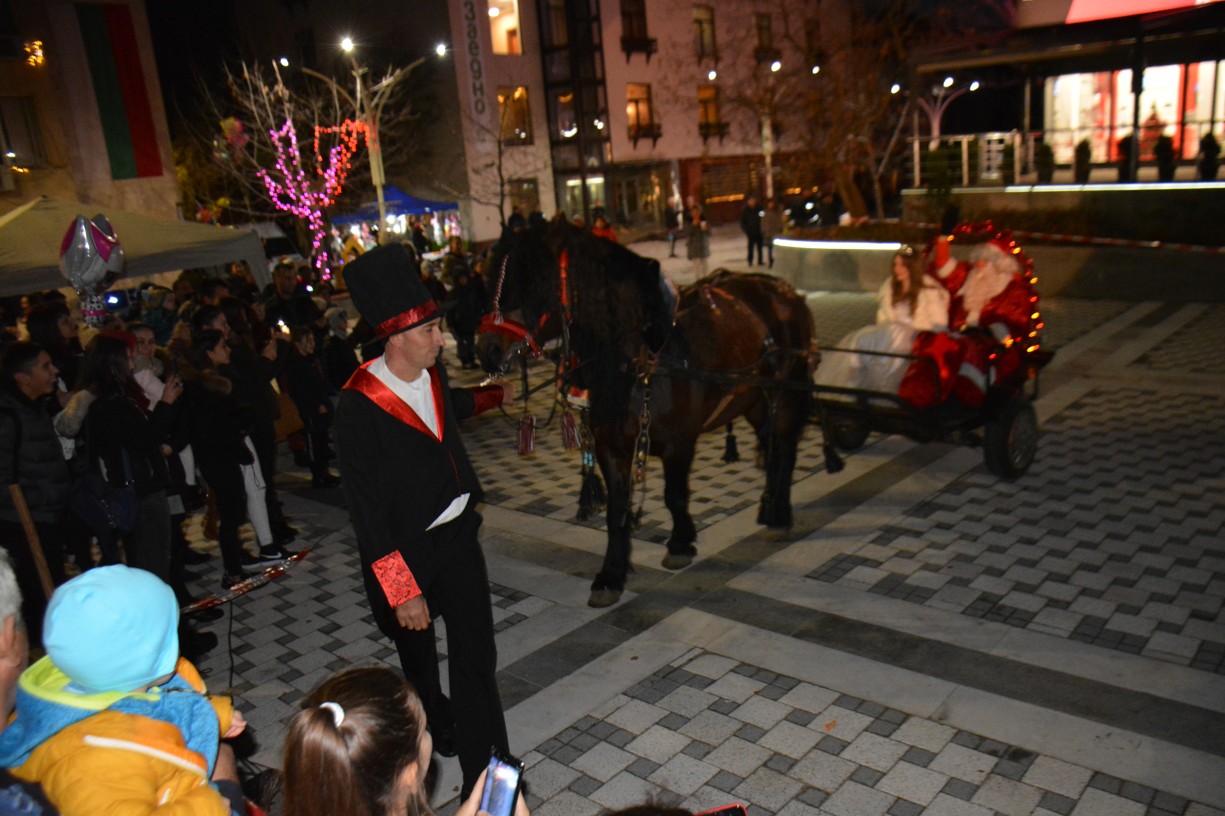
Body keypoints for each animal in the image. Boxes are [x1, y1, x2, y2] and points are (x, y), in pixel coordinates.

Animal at [485, 222, 813, 602]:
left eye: (535, 283)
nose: (485, 349)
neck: (638, 358)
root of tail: (785, 290)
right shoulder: (611, 447)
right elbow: (617, 509)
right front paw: (611, 575)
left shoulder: (679, 442)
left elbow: (674, 496)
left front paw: (681, 543)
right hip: (755, 401)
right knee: (772, 443)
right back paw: (770, 506)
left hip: (786, 391)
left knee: (785, 446)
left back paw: (779, 515)